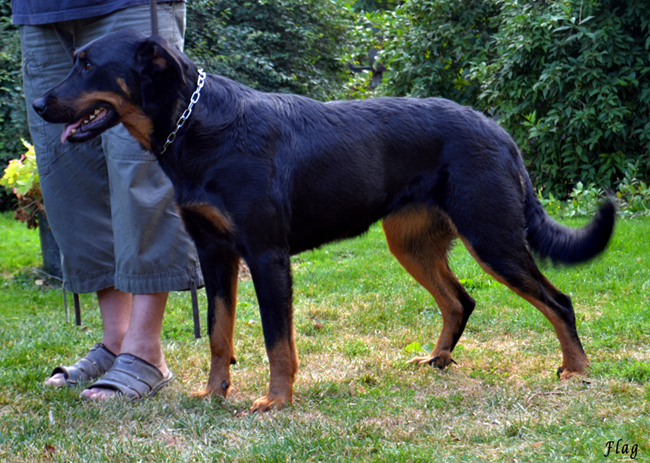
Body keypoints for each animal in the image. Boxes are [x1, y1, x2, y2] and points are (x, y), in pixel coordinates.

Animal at [33, 29, 616, 414]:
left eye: (88, 65)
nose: (38, 103)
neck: (198, 126)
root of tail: (500, 133)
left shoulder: (266, 256)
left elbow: (277, 342)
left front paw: (276, 401)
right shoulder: (215, 254)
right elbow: (220, 335)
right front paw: (214, 392)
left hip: (491, 237)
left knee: (558, 301)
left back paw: (577, 372)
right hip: (411, 244)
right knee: (460, 300)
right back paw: (438, 360)